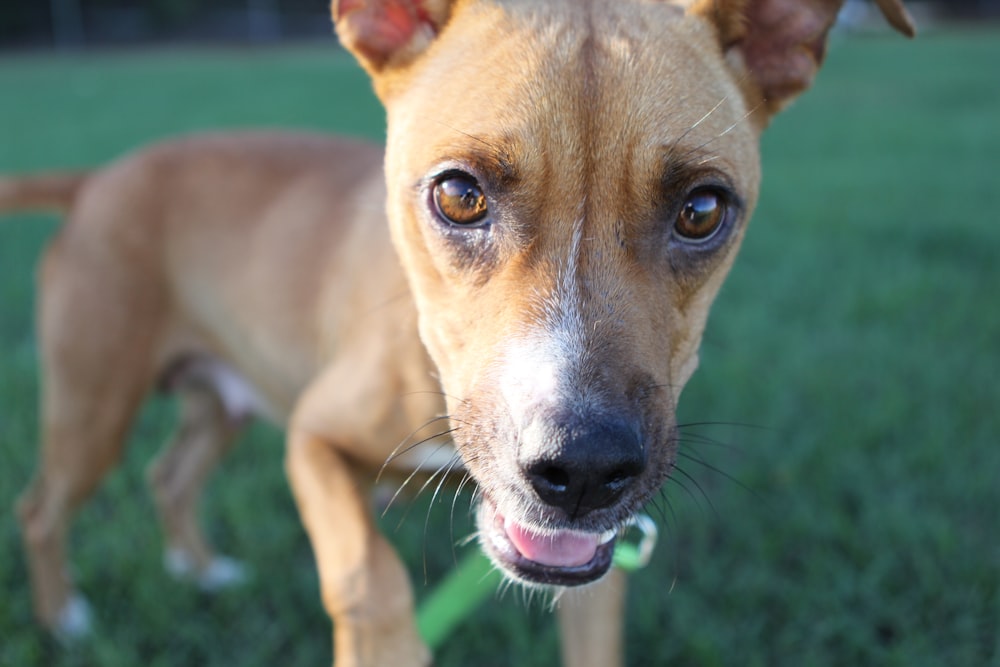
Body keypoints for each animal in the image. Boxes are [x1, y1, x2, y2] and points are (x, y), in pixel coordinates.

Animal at [3, 1, 916, 667]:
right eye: (457, 195)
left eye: (702, 209)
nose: (584, 468)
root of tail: (96, 179)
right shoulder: (314, 437)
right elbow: (367, 574)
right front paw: (387, 644)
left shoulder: (598, 564)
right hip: (93, 403)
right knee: (42, 506)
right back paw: (67, 615)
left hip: (217, 399)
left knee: (169, 475)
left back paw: (198, 566)